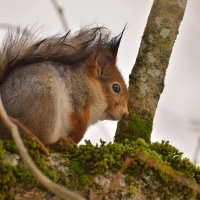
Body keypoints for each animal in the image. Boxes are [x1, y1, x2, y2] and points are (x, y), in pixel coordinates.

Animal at [0, 26, 128, 145]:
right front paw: (75, 139)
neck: (89, 83)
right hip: (43, 103)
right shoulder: (77, 99)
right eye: (116, 88)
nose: (125, 114)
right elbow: (78, 125)